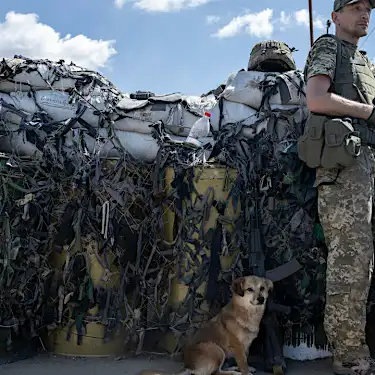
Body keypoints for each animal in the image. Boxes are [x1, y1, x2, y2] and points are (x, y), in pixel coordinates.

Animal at [135, 274, 274, 375]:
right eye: (249, 289)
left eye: (262, 288)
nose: (261, 299)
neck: (246, 312)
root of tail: (189, 366)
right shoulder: (238, 346)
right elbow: (243, 362)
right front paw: (245, 372)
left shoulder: (246, 346)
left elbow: (245, 359)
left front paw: (248, 368)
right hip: (216, 349)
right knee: (216, 373)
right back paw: (235, 373)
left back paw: (233, 369)